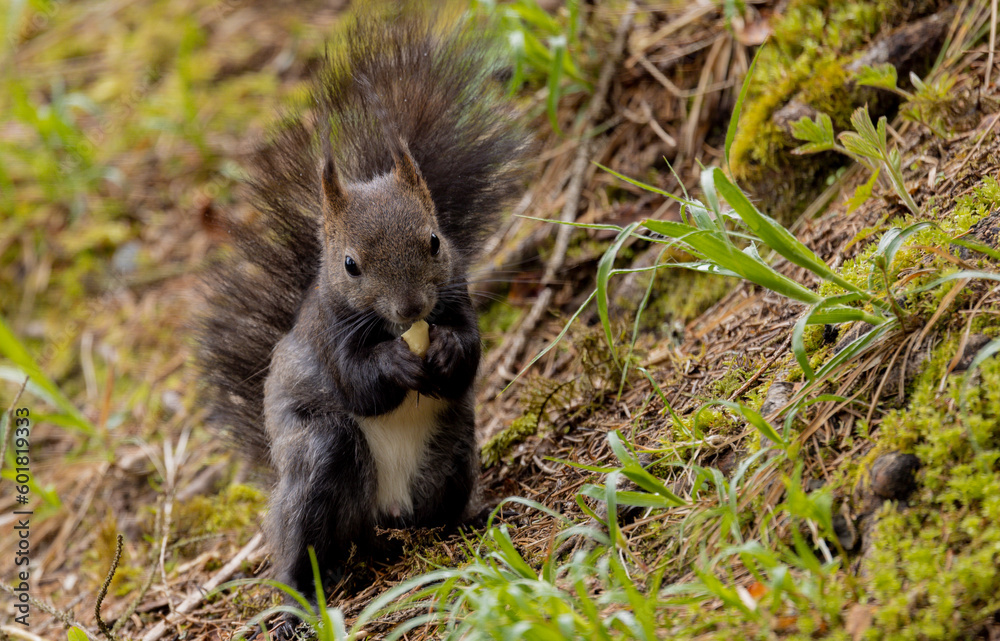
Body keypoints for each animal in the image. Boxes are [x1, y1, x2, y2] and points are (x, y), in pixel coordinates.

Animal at [196, 3, 531, 617]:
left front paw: (448, 349)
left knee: (433, 515)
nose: (412, 307)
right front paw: (393, 365)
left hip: (451, 452)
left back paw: (467, 522)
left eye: (434, 242)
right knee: (306, 539)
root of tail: (383, 516)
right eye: (350, 265)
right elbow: (359, 384)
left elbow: (470, 352)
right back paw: (300, 597)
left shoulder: (458, 294)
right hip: (321, 461)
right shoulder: (329, 335)